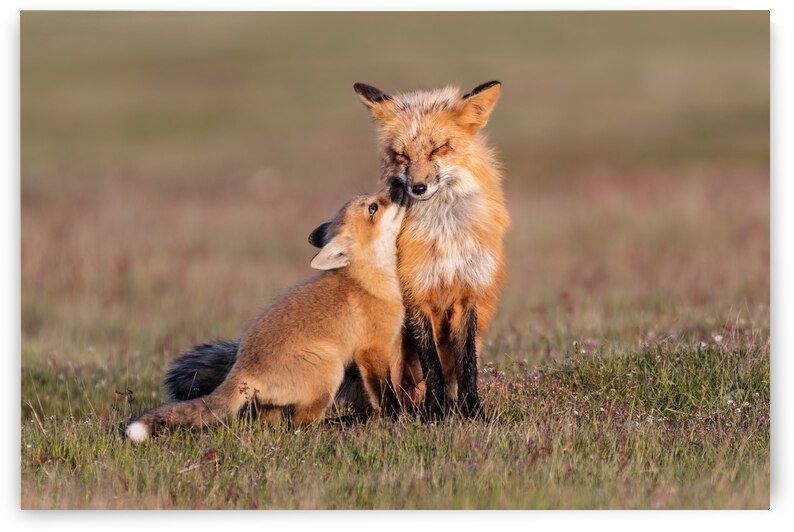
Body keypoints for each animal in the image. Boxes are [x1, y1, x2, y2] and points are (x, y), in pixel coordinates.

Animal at [125, 186, 407, 442]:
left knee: (269, 423)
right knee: (301, 424)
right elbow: (384, 390)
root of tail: (242, 371)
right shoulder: (371, 350)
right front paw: (394, 415)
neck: (366, 282)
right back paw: (340, 424)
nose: (399, 186)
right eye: (373, 208)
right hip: (330, 370)